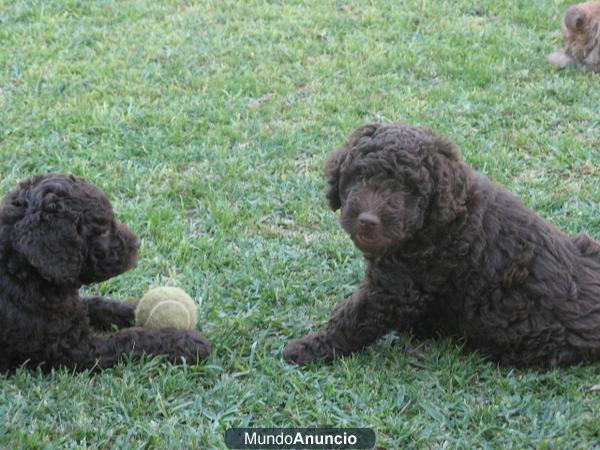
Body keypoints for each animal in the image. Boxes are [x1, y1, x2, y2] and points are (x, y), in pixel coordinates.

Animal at [0, 174, 211, 374]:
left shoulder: (71, 309)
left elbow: (99, 303)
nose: (138, 244)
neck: (24, 275)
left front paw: (135, 307)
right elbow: (130, 339)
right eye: (102, 231)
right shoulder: (73, 350)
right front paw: (185, 342)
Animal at [282, 124, 600, 370]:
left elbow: (352, 318)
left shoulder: (397, 288)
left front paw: (307, 348)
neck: (437, 221)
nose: (368, 220)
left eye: (408, 188)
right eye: (359, 176)